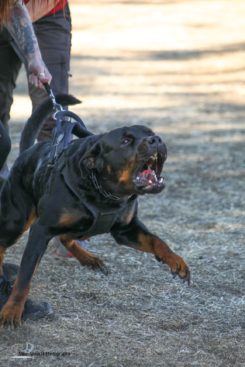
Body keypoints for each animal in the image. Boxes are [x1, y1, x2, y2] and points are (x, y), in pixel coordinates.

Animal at [0, 95, 190, 328]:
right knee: (3, 243)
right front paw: (12, 310)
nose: (156, 139)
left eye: (150, 133)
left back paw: (89, 259)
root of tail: (27, 153)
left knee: (66, 237)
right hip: (16, 221)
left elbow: (157, 241)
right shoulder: (41, 230)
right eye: (125, 141)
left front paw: (176, 261)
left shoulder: (127, 230)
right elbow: (25, 277)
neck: (105, 193)